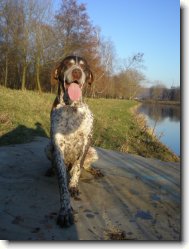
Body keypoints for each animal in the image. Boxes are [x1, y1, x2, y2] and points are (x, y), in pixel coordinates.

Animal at [44, 56, 102, 228]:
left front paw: (74, 186)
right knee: (54, 164)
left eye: (84, 67)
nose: (77, 72)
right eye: (67, 64)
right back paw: (51, 170)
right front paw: (65, 211)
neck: (72, 107)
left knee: (84, 166)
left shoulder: (86, 140)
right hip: (48, 147)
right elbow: (62, 183)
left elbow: (78, 167)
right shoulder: (57, 144)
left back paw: (94, 171)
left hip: (93, 151)